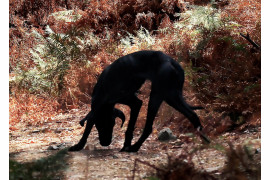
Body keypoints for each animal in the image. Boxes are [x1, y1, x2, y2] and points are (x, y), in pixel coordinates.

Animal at [68, 50, 210, 152]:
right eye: (100, 126)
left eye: (112, 124)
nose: (105, 143)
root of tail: (172, 62)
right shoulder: (127, 104)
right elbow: (88, 126)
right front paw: (79, 145)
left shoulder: (134, 103)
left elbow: (129, 127)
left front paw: (126, 145)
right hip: (171, 96)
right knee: (192, 114)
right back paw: (204, 140)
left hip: (158, 95)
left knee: (148, 127)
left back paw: (135, 147)